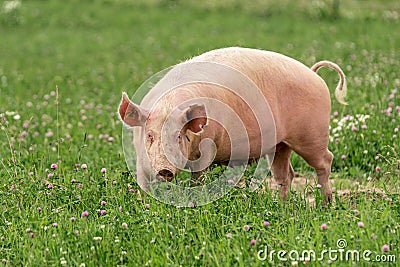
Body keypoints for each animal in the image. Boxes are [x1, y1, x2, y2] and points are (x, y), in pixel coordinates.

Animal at [119, 47, 346, 201]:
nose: (164, 170)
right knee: (285, 174)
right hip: (280, 144)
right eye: (150, 135)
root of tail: (314, 73)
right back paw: (282, 205)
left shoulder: (208, 148)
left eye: (179, 136)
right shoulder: (140, 157)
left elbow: (198, 178)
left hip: (312, 134)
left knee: (325, 161)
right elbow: (144, 183)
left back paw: (326, 204)